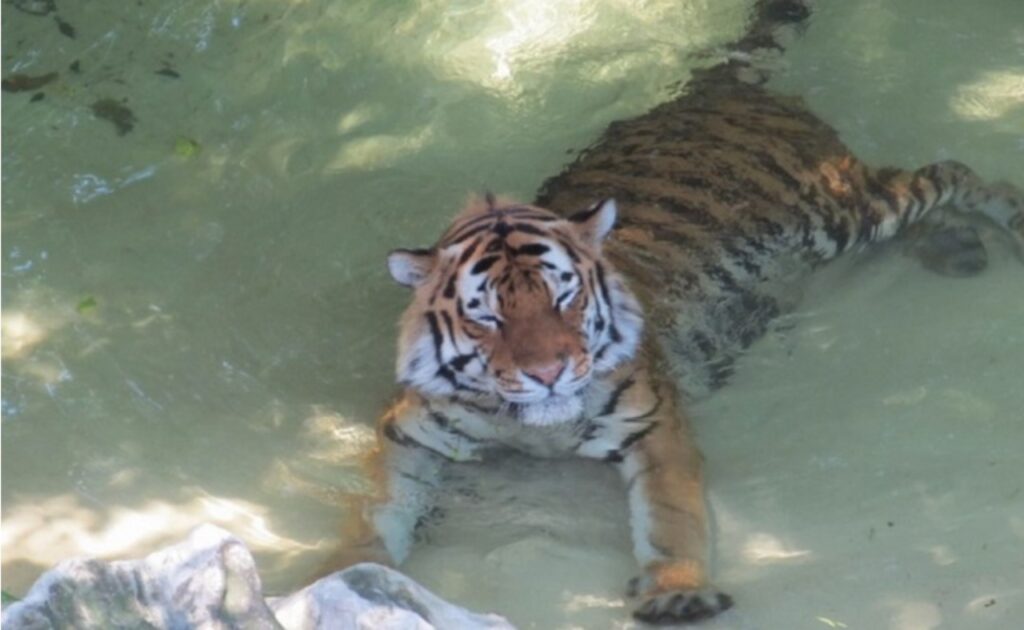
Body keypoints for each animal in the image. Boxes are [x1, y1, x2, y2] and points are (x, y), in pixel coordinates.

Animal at [329, 0, 1024, 626]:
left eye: (564, 297)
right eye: (487, 317)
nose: (548, 372)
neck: (533, 425)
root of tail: (712, 89)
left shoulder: (654, 425)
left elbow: (670, 518)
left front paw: (678, 592)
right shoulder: (407, 433)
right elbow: (374, 511)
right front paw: (344, 574)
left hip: (843, 211)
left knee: (948, 172)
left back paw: (1005, 221)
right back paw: (956, 247)